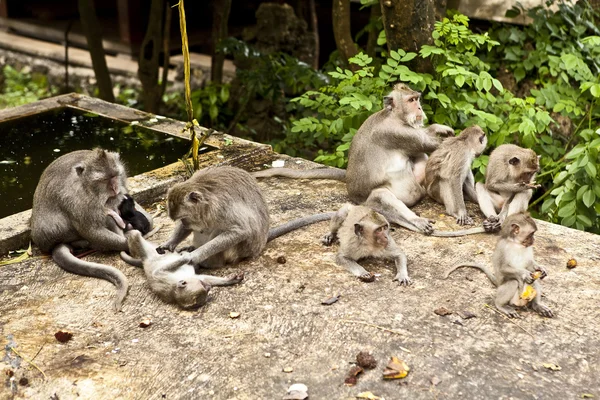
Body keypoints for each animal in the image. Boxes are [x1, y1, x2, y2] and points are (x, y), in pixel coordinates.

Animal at [29, 148, 152, 310]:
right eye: (103, 180)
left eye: (115, 176)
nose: (114, 188)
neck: (87, 187)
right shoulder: (76, 199)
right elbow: (91, 230)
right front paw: (133, 243)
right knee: (106, 218)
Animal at [157, 166, 336, 268]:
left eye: (184, 217)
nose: (186, 223)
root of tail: (262, 240)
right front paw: (169, 244)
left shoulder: (221, 209)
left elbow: (240, 231)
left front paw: (194, 256)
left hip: (244, 249)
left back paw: (209, 263)